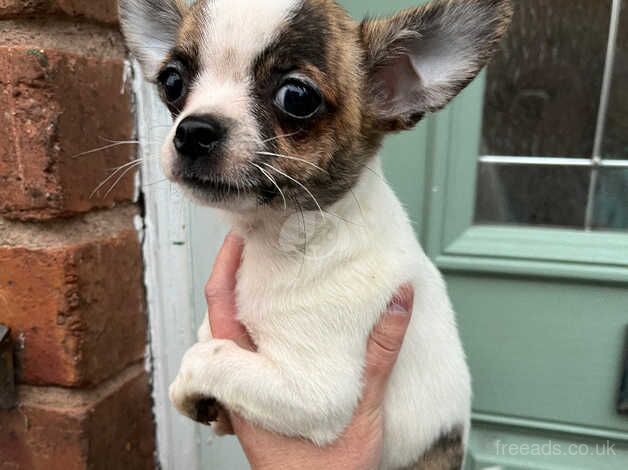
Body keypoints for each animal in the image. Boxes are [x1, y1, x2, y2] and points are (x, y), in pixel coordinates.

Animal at [119, 1, 510, 468]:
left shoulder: (315, 393)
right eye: (172, 82)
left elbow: (209, 356)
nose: (193, 130)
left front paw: (188, 386)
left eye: (296, 96)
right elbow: (208, 337)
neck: (277, 237)